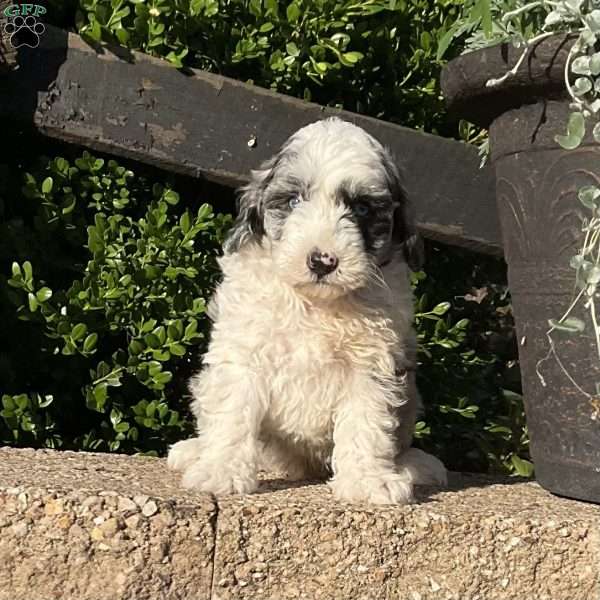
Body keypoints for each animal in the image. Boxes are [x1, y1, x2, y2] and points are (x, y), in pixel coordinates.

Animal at [168, 116, 446, 502]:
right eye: (294, 199)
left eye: (361, 209)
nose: (322, 261)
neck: (315, 304)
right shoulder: (245, 349)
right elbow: (233, 411)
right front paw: (220, 470)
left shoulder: (371, 363)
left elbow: (366, 421)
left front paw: (367, 481)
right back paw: (193, 450)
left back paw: (414, 465)